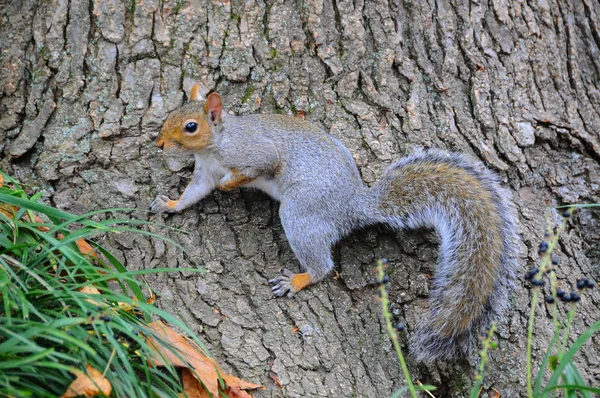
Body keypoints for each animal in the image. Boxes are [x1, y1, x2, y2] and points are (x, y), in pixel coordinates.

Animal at [151, 82, 520, 362]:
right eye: (169, 115)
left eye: (191, 126)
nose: (159, 144)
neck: (217, 143)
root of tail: (353, 206)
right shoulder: (205, 173)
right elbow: (194, 193)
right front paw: (171, 204)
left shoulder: (253, 152)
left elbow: (260, 165)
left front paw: (231, 184)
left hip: (300, 213)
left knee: (324, 266)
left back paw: (298, 279)